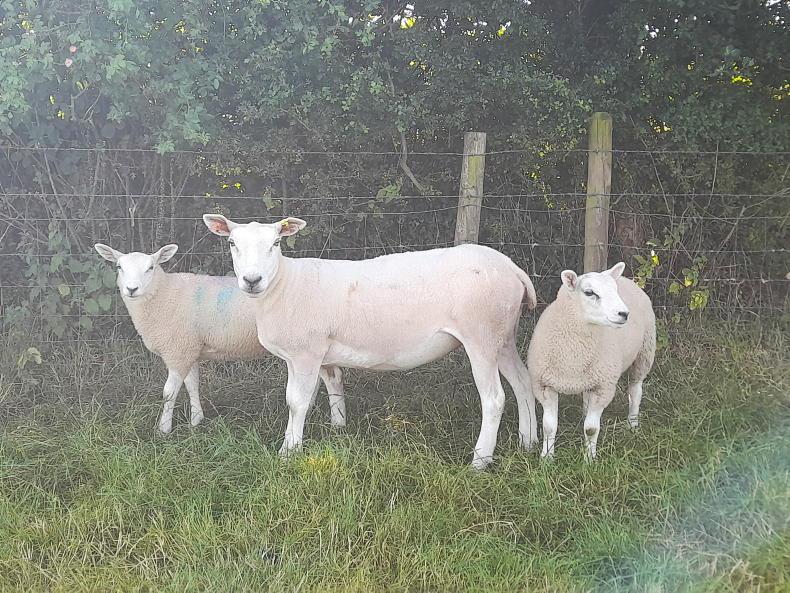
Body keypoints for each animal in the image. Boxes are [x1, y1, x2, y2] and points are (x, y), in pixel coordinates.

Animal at [93, 243, 346, 434]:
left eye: (151, 267)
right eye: (119, 266)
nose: (131, 289)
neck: (163, 294)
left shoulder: (177, 351)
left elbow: (168, 393)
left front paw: (163, 430)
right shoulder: (189, 349)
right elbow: (192, 384)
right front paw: (196, 420)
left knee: (331, 378)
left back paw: (336, 423)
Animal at [202, 214, 539, 470]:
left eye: (275, 243)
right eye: (232, 243)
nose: (252, 280)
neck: (283, 285)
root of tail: (513, 269)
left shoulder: (305, 352)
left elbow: (296, 402)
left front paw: (288, 453)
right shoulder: (318, 352)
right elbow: (330, 385)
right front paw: (337, 429)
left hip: (481, 334)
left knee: (494, 398)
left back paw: (480, 462)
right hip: (502, 336)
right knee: (523, 383)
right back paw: (529, 441)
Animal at [526, 262, 656, 461]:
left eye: (615, 290)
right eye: (589, 292)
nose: (624, 314)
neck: (573, 356)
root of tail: (627, 279)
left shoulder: (603, 388)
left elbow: (591, 429)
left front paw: (589, 459)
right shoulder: (545, 385)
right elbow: (549, 427)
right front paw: (546, 458)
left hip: (644, 352)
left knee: (635, 391)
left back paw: (633, 423)